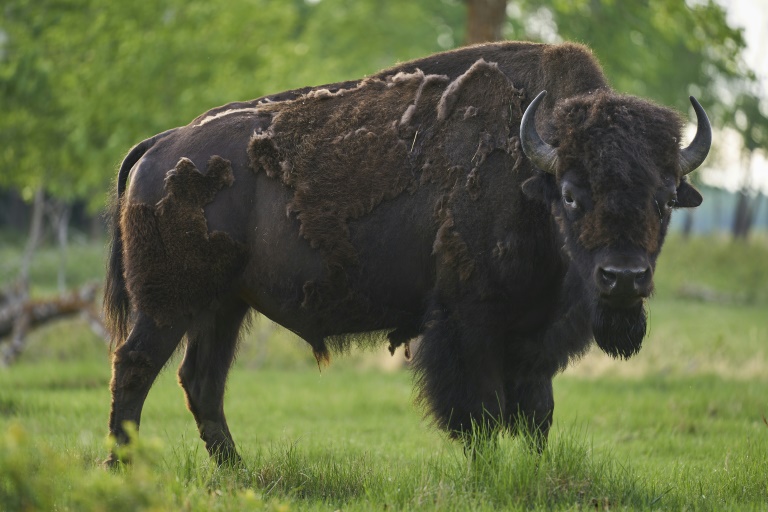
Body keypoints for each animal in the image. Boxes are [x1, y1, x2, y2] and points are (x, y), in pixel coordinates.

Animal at [105, 41, 712, 464]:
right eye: (570, 193)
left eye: (664, 200)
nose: (623, 277)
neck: (528, 175)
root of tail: (160, 145)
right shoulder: (468, 326)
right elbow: (480, 414)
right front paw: (488, 472)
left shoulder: (534, 338)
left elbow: (537, 414)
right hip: (168, 304)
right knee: (135, 368)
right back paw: (122, 468)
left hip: (224, 306)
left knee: (201, 382)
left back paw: (235, 470)